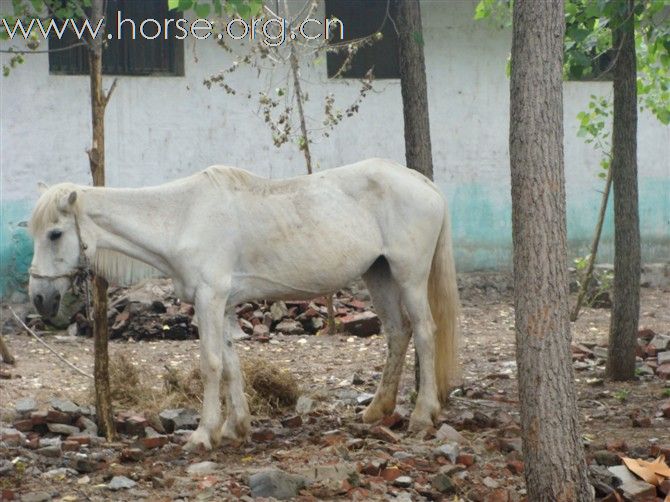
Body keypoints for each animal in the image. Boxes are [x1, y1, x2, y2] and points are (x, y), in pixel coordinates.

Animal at [26, 158, 460, 452]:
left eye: (55, 233)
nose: (40, 298)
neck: (182, 217)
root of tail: (424, 184)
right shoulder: (223, 306)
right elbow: (232, 364)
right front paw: (236, 427)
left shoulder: (209, 299)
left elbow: (211, 365)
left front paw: (204, 434)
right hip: (379, 276)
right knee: (398, 334)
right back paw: (376, 411)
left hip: (409, 277)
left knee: (424, 333)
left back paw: (422, 415)